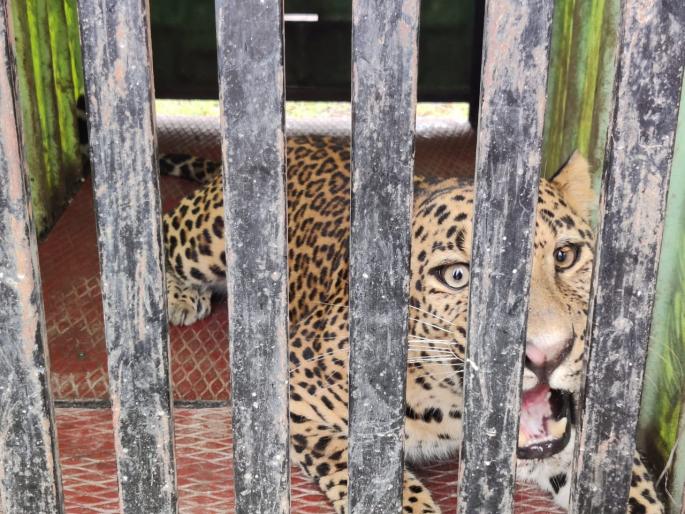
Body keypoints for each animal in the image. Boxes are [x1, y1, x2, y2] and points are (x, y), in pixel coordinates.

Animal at [159, 135, 662, 513]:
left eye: (565, 255)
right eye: (457, 276)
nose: (547, 354)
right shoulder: (292, 389)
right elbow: (372, 477)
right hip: (205, 237)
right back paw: (178, 295)